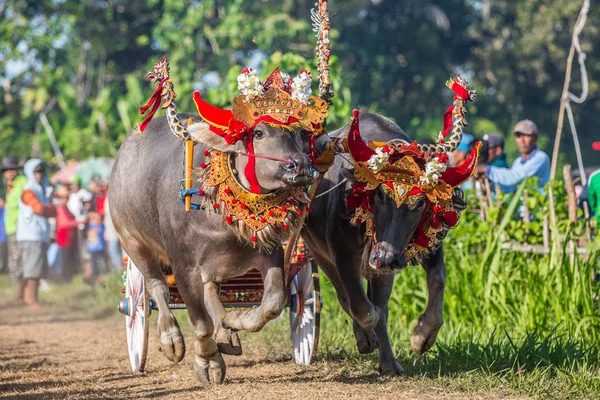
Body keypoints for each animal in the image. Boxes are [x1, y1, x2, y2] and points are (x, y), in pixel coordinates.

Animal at [111, 113, 318, 384]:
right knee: (157, 287)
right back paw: (171, 339)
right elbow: (200, 324)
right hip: (132, 241)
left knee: (210, 291)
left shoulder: (270, 252)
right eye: (258, 133)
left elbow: (273, 302)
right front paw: (208, 361)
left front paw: (236, 319)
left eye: (301, 133)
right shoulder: (184, 266)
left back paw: (226, 331)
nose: (301, 165)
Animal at [302, 112, 466, 376]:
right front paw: (368, 336)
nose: (388, 257)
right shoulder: (342, 257)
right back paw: (367, 340)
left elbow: (437, 281)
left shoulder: (430, 244)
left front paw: (421, 338)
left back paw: (389, 363)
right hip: (321, 255)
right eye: (380, 194)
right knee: (347, 298)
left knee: (380, 305)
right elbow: (362, 308)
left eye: (420, 202)